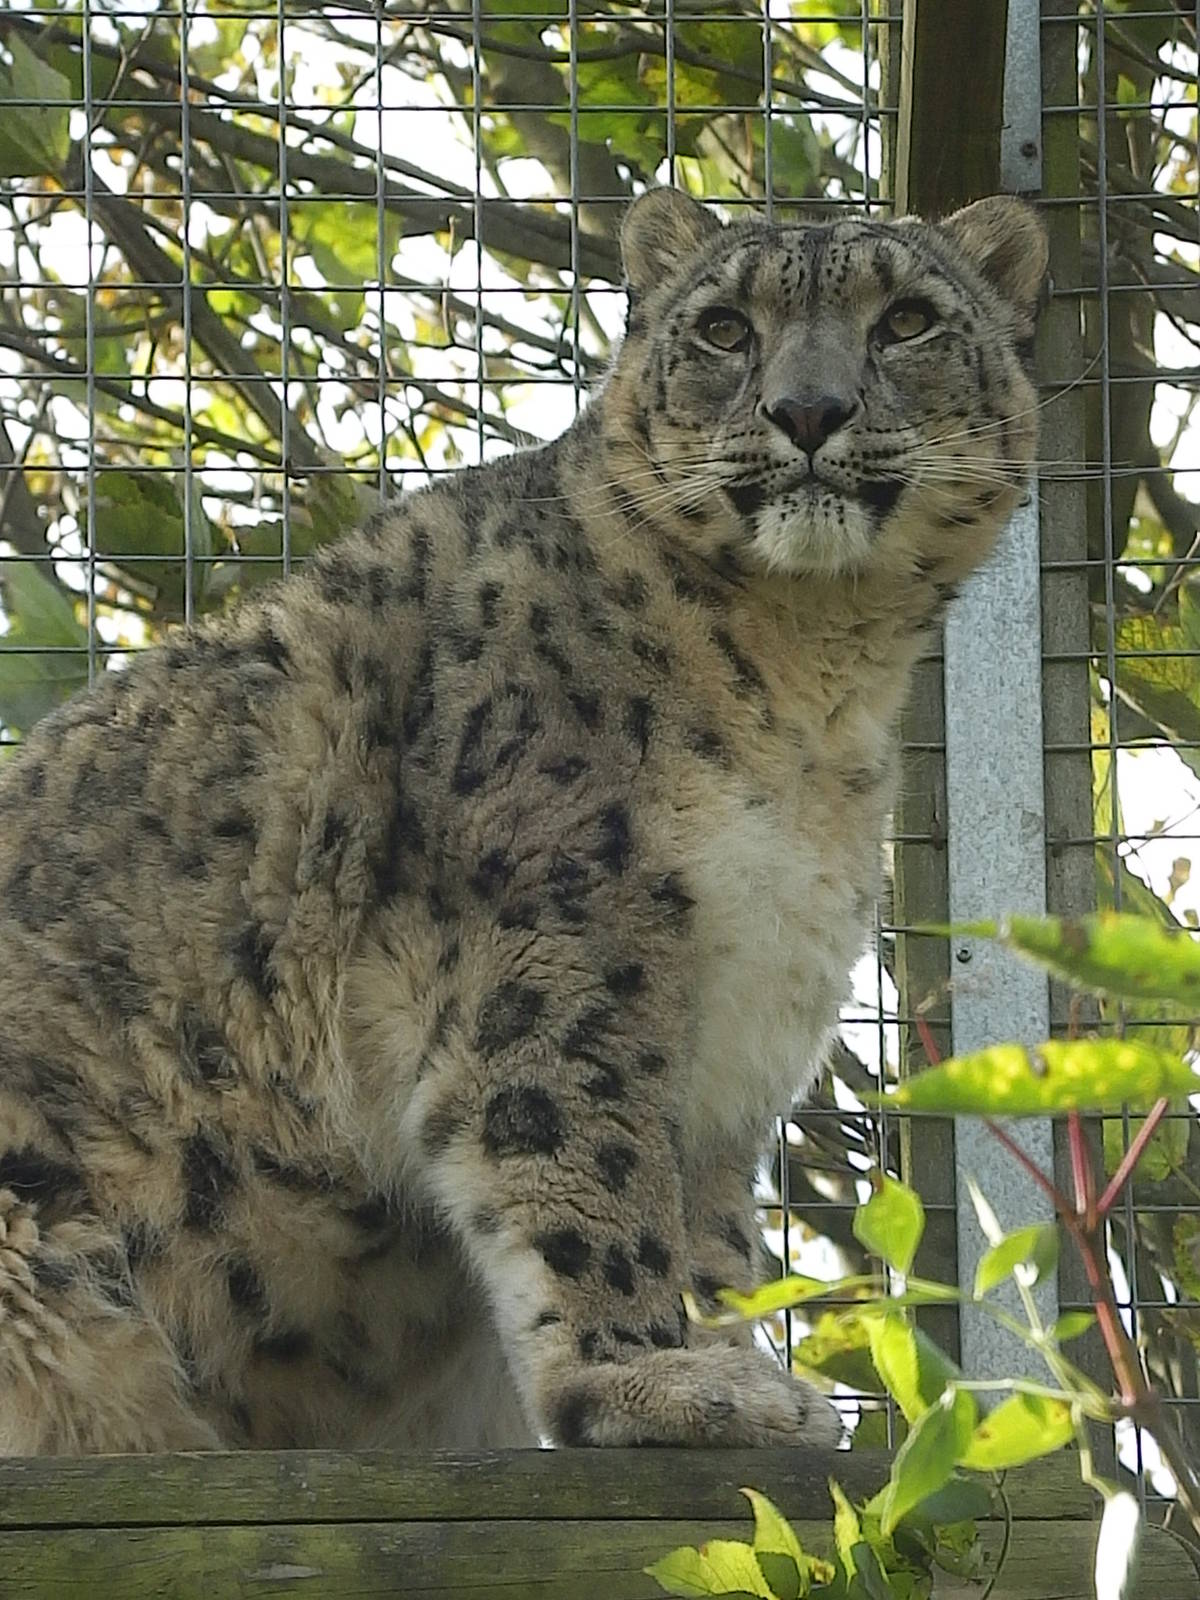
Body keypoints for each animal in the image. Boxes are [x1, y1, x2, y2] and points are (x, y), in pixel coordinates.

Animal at [0, 188, 1047, 1455]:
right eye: (724, 329)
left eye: (906, 319)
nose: (808, 409)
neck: (812, 687)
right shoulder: (561, 923)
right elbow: (582, 1155)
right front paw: (657, 1379)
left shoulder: (740, 1021)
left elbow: (704, 1227)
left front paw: (729, 1361)